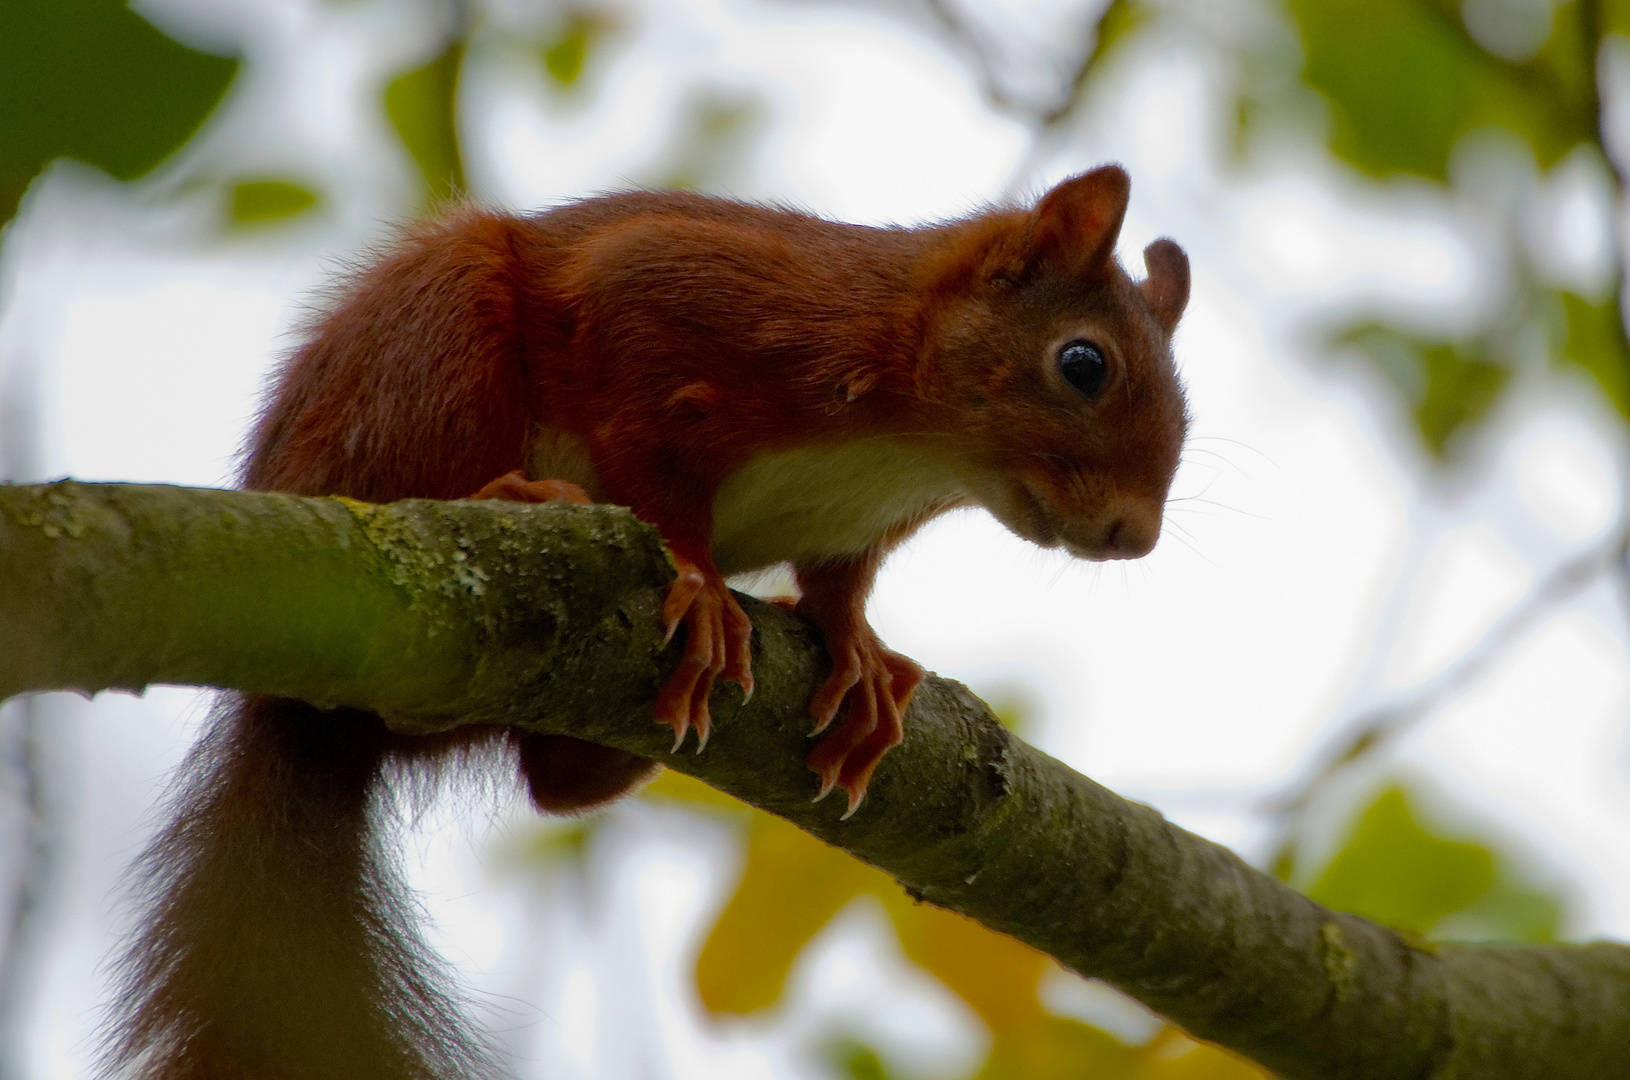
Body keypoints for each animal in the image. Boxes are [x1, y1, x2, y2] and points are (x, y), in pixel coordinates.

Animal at [108, 164, 1193, 1075]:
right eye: (1083, 364)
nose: (1133, 537)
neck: (910, 452)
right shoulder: (683, 301)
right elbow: (657, 472)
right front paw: (703, 583)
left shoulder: (858, 528)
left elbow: (839, 586)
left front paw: (859, 654)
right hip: (428, 352)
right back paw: (513, 499)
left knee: (550, 784)